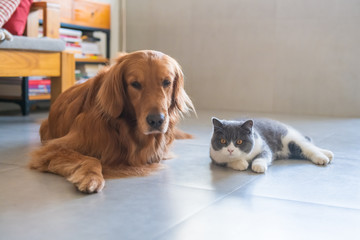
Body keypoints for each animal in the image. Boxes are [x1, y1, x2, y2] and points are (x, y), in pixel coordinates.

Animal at [28, 50, 194, 193]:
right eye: (135, 84)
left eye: (167, 82)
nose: (156, 121)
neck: (122, 130)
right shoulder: (52, 148)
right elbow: (92, 158)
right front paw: (92, 177)